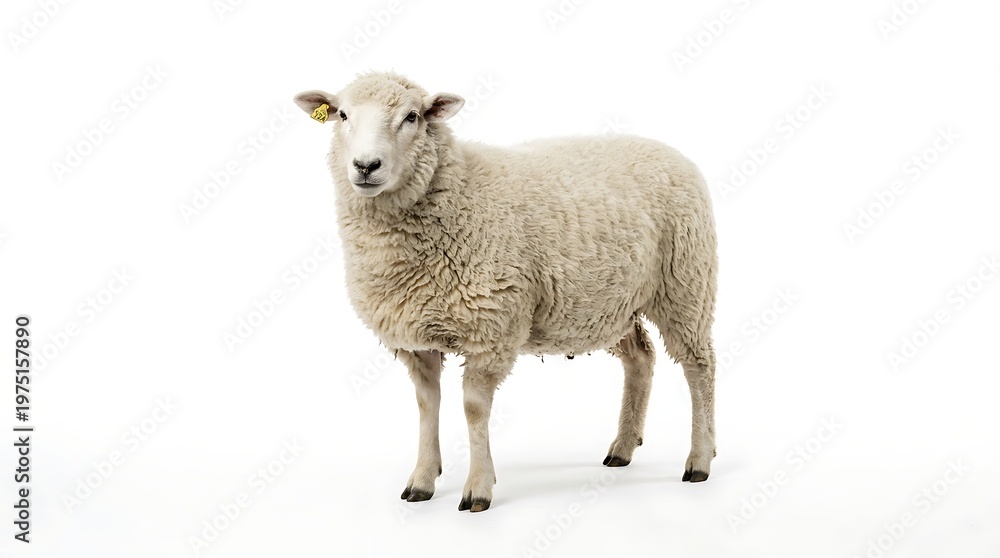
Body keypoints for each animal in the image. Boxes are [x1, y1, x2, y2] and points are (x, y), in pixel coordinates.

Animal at [293, 72, 718, 512]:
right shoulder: (417, 338)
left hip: (686, 283)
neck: (457, 192)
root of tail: (668, 150)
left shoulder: (491, 328)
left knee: (699, 367)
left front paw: (478, 488)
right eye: (343, 114)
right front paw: (422, 480)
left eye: (412, 117)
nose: (365, 166)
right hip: (608, 305)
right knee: (641, 358)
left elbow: (474, 409)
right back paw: (622, 447)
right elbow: (427, 405)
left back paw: (699, 459)